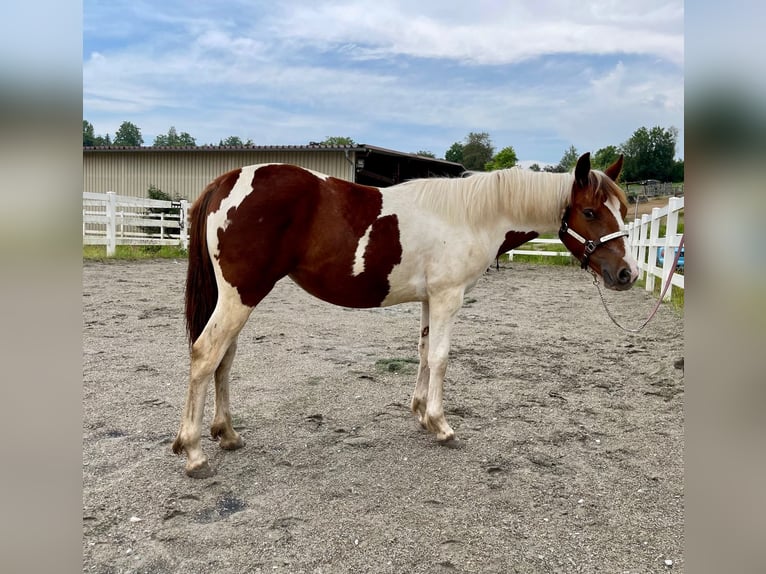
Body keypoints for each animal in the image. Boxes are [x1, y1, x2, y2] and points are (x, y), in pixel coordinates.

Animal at [176, 152, 640, 476]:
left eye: (622, 211)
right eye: (591, 212)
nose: (627, 274)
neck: (474, 216)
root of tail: (225, 182)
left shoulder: (430, 300)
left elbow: (422, 353)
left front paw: (419, 412)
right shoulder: (449, 297)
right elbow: (441, 358)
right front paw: (441, 424)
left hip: (236, 298)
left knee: (224, 359)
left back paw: (227, 434)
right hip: (241, 296)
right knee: (205, 354)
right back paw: (194, 451)